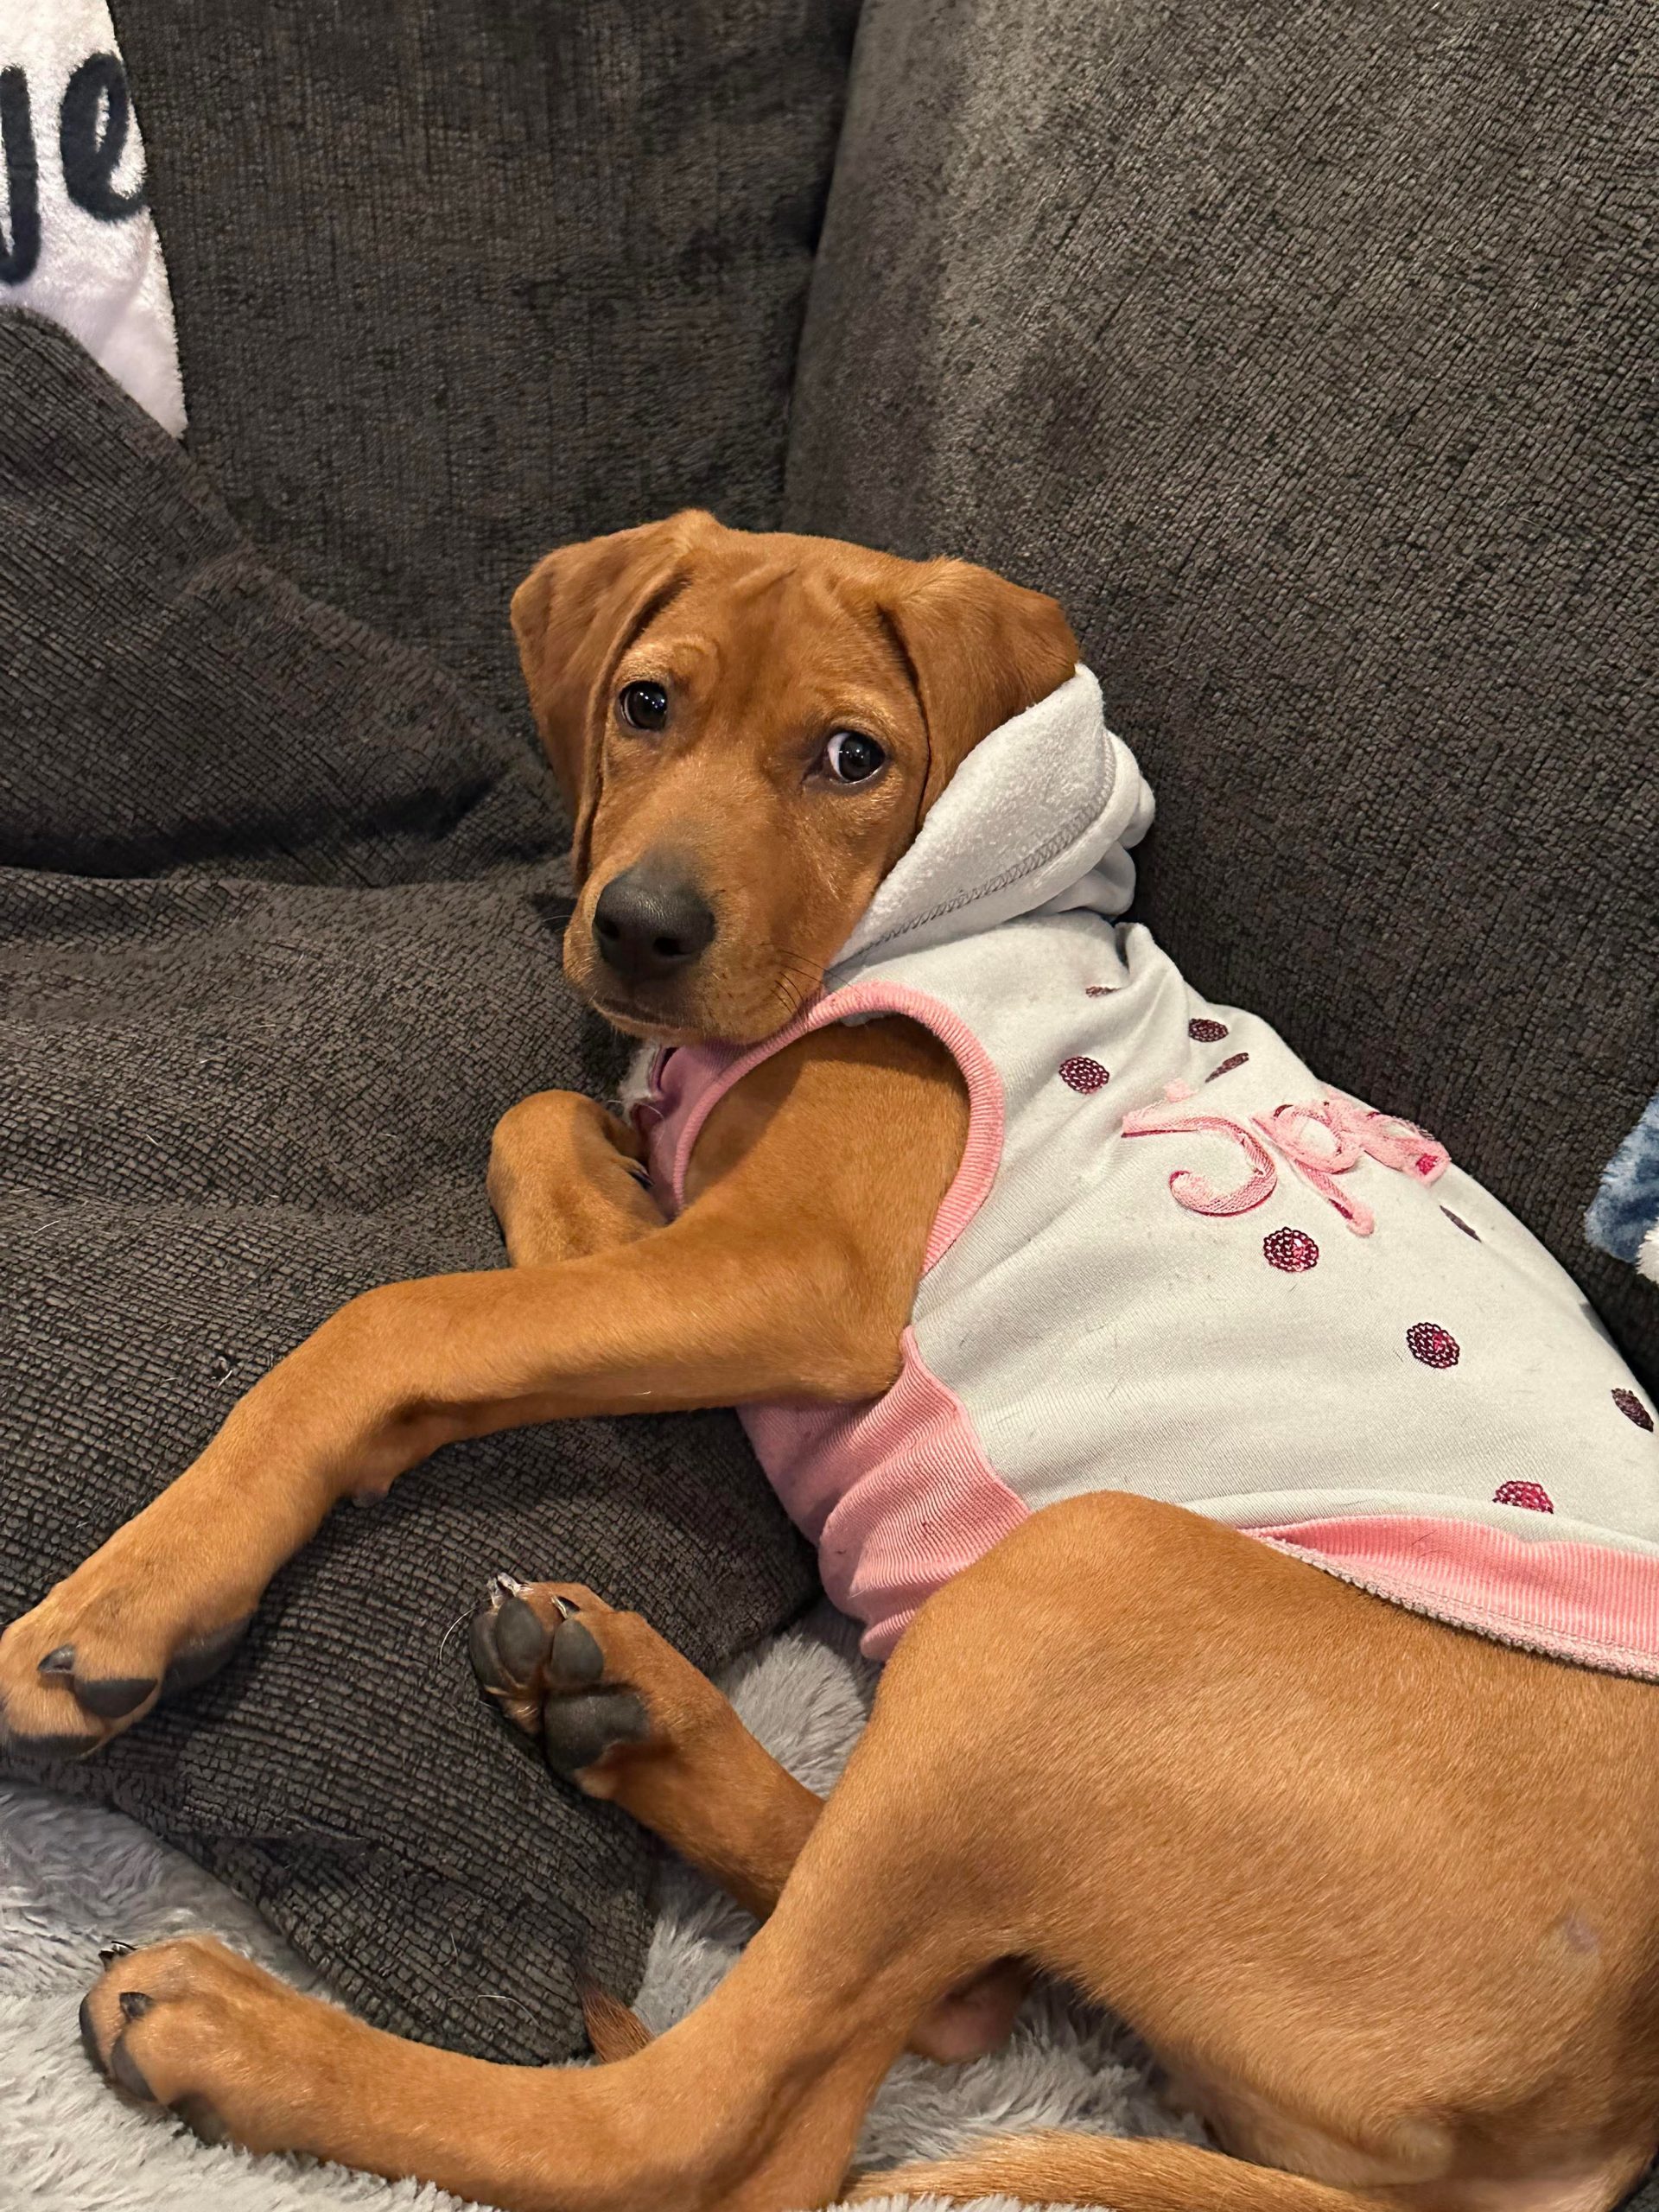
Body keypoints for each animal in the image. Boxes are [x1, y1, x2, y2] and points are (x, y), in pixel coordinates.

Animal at [2, 511, 1657, 2212]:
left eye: (853, 757)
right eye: (646, 706)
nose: (640, 930)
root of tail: (1605, 2113)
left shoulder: (810, 1276)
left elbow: (402, 1318)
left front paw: (127, 1599)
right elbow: (543, 1135)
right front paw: (599, 1185)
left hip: (1081, 1582)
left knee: (706, 2131)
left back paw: (231, 2034)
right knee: (959, 1993)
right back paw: (625, 1709)